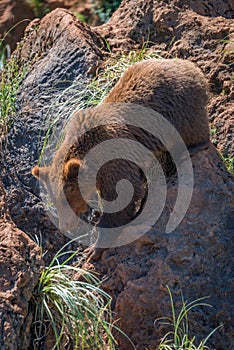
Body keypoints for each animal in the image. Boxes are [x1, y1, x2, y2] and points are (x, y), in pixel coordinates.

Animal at [31, 58, 210, 258]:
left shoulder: (113, 160)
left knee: (192, 130)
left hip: (177, 108)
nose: (66, 225)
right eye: (53, 201)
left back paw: (193, 148)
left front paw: (94, 248)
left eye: (66, 197)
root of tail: (191, 66)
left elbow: (122, 196)